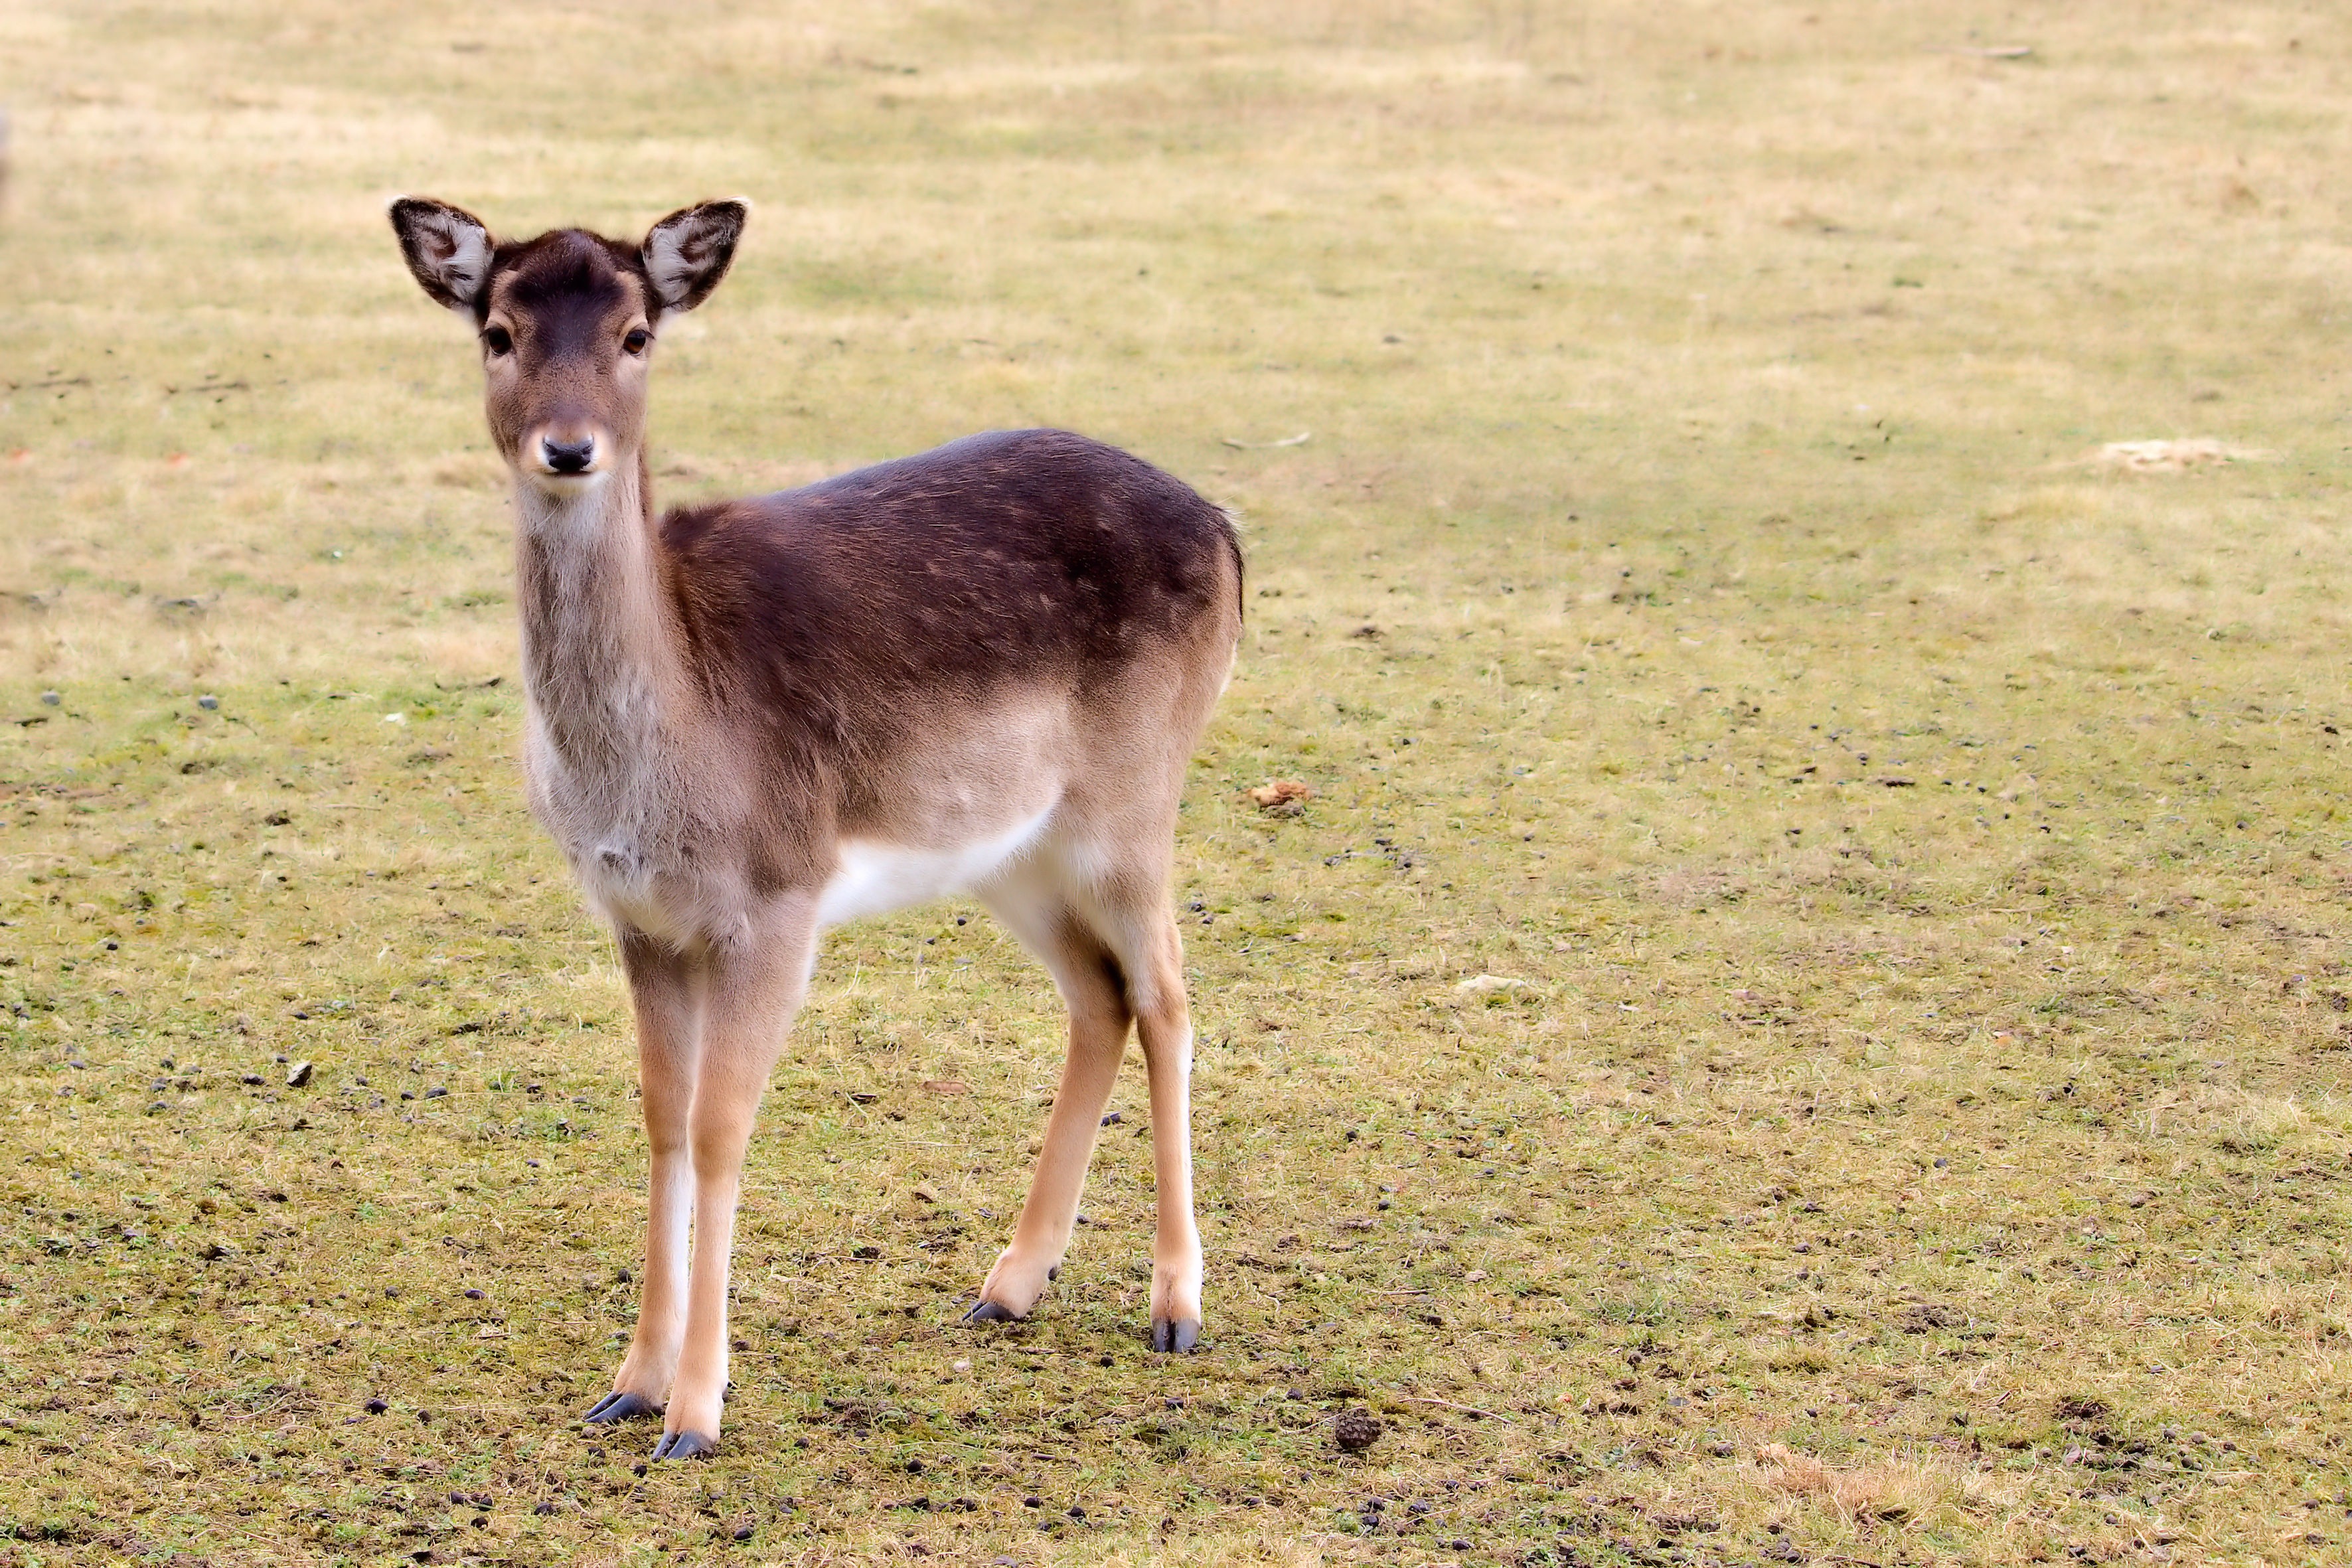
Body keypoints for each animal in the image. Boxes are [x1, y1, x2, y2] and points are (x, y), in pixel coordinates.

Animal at [390, 200, 1251, 1457]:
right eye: (497, 332)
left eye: (638, 334)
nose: (568, 447)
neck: (661, 762)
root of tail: (1230, 532)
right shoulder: (639, 916)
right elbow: (661, 1120)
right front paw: (628, 1382)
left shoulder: (777, 900)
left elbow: (720, 1128)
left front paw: (696, 1411)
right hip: (1011, 850)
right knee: (1098, 996)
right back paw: (1009, 1282)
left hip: (1134, 798)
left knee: (1170, 993)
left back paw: (1175, 1303)